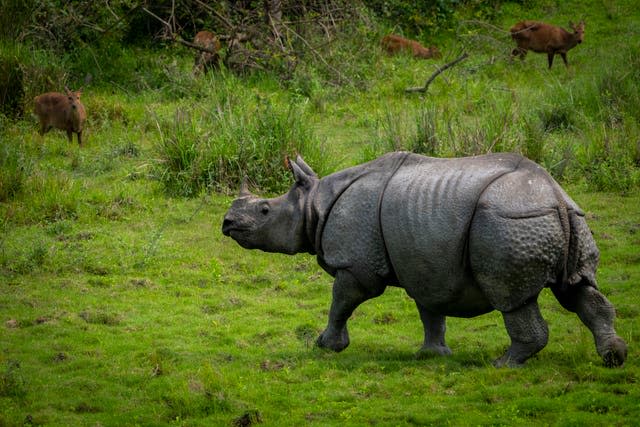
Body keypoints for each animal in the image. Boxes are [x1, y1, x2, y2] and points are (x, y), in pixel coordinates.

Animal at [222, 153, 628, 368]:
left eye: (264, 210)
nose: (227, 223)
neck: (313, 204)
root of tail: (554, 195)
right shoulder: (427, 262)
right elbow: (430, 310)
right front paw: (433, 354)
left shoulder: (356, 264)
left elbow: (342, 302)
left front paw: (326, 346)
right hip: (569, 217)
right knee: (578, 288)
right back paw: (614, 356)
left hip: (509, 220)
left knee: (512, 298)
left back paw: (502, 365)